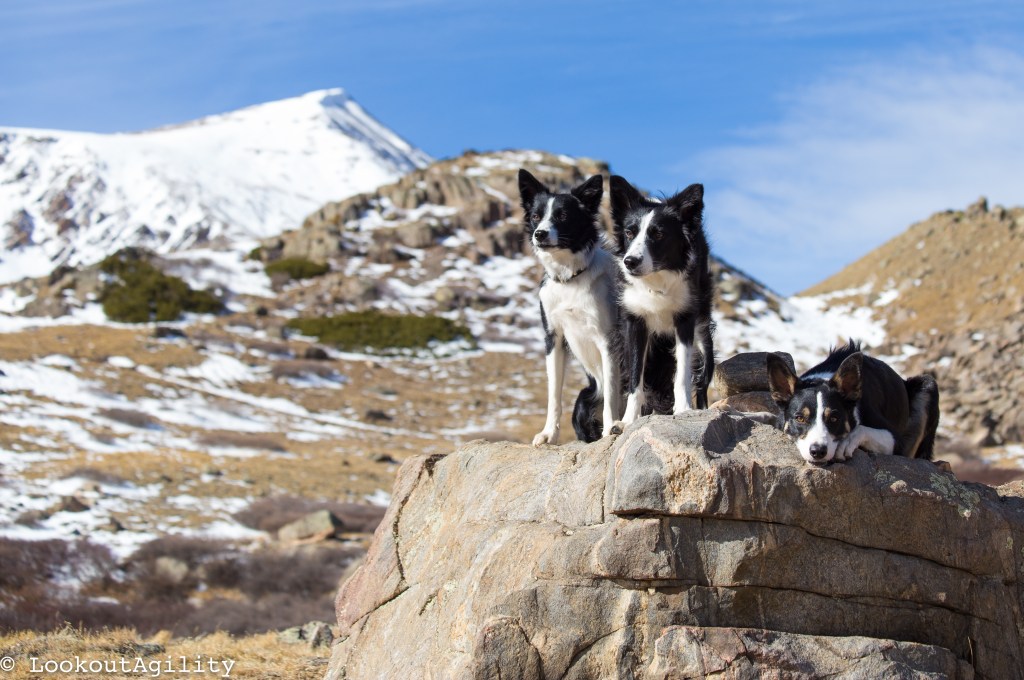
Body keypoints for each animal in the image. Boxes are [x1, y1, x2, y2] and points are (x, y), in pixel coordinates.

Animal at [518, 169, 623, 445]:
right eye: (536, 216)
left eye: (562, 216)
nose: (540, 234)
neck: (570, 278)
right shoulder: (553, 337)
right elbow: (554, 394)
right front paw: (548, 434)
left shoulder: (608, 339)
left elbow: (612, 392)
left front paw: (611, 428)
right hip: (583, 402)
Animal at [609, 175, 715, 424]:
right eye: (629, 233)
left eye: (658, 234)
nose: (630, 262)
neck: (656, 279)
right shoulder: (634, 323)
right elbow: (636, 379)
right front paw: (628, 420)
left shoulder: (685, 318)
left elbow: (683, 373)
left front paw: (684, 409)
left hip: (703, 333)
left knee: (702, 379)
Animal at [766, 341, 940, 464]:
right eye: (800, 418)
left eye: (834, 418)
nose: (818, 451)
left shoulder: (896, 440)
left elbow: (861, 429)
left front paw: (845, 442)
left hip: (928, 384)